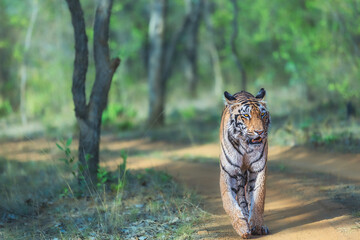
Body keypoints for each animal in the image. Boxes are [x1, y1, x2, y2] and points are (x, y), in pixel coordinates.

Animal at [219, 88, 270, 238]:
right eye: (246, 115)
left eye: (262, 114)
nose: (260, 131)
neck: (245, 145)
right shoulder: (228, 171)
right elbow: (229, 201)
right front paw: (242, 227)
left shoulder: (258, 169)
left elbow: (258, 198)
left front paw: (257, 226)